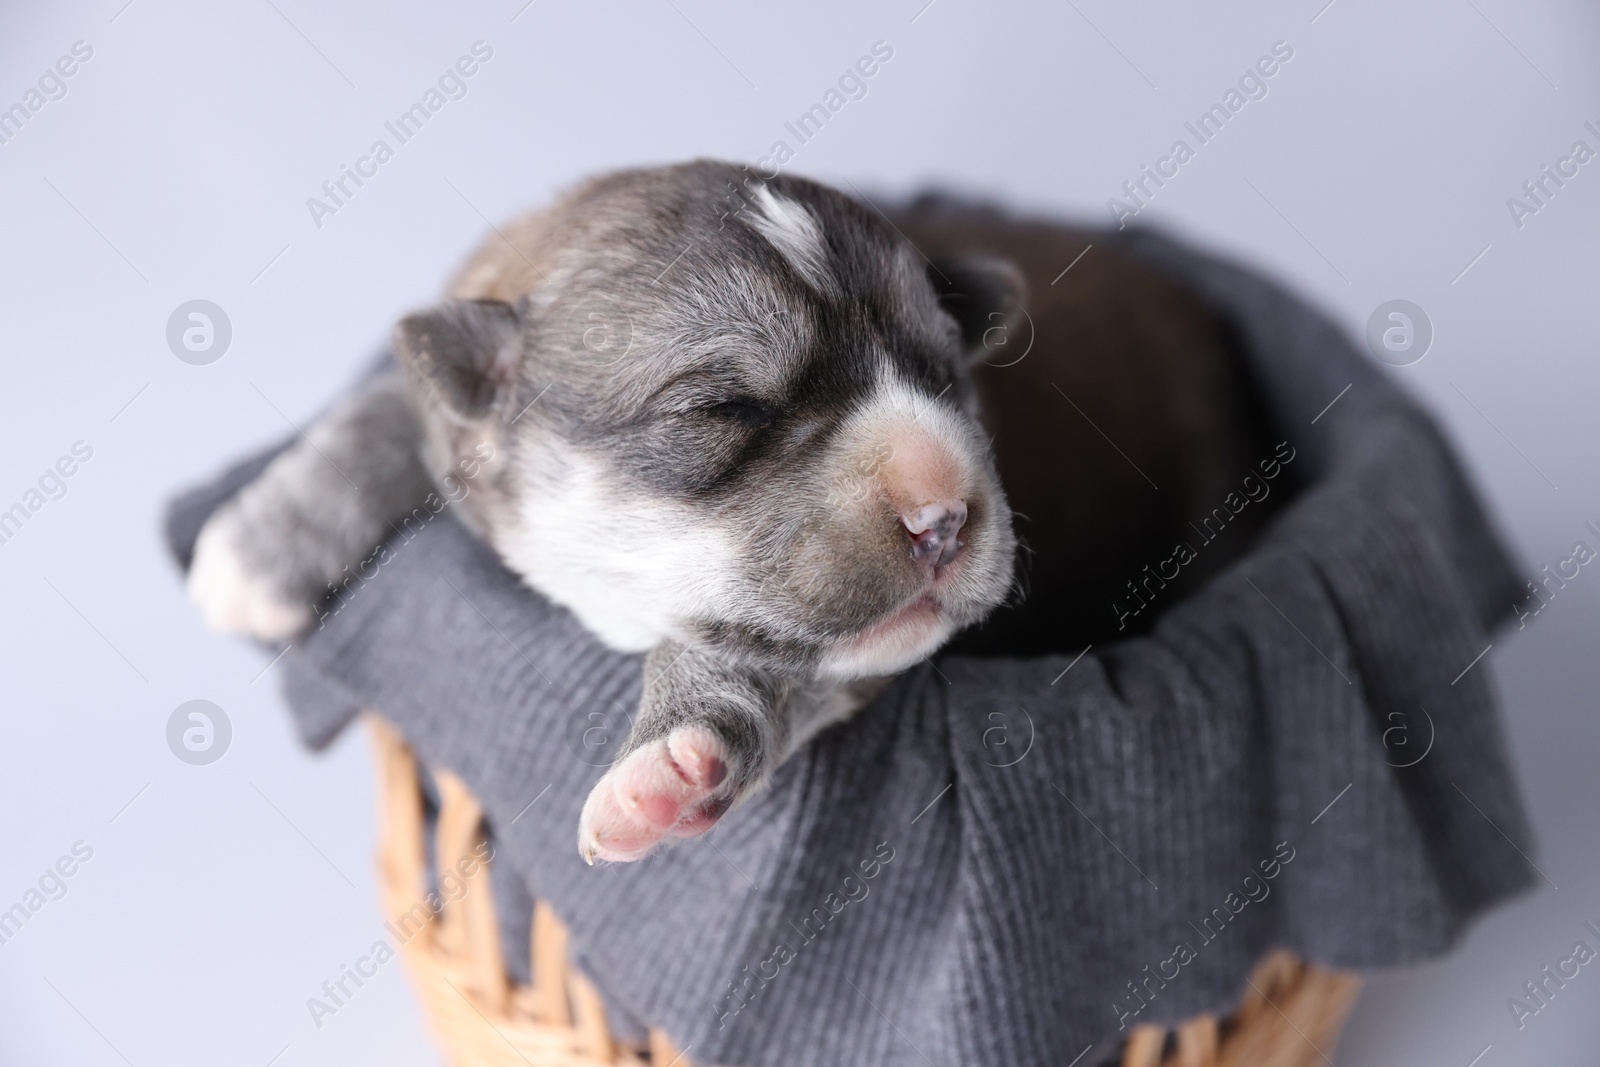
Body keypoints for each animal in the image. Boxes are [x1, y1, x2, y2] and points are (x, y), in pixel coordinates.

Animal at [187, 158, 1267, 863]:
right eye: (725, 408)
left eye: (943, 375)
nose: (946, 517)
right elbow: (385, 407)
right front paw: (255, 546)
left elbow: (759, 650)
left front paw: (673, 756)